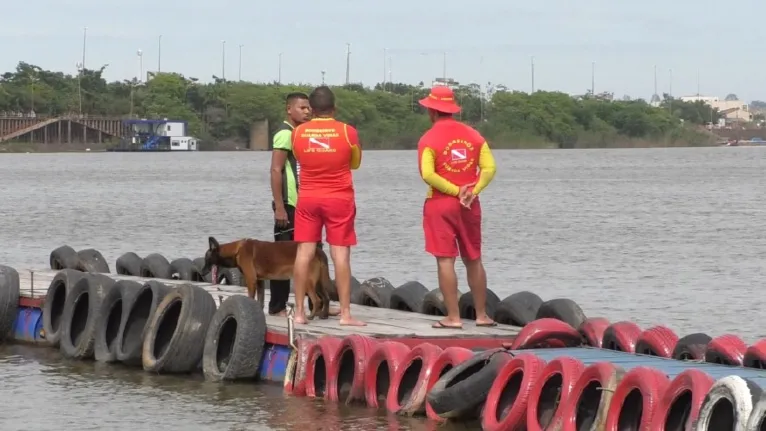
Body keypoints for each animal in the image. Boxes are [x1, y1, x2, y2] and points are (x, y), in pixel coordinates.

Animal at [202, 236, 332, 320]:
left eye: (206, 259)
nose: (202, 273)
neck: (237, 250)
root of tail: (318, 251)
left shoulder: (251, 280)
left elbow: (251, 296)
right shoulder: (260, 281)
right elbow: (260, 300)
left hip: (306, 281)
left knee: (317, 300)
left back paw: (311, 317)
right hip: (318, 283)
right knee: (326, 298)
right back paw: (324, 315)